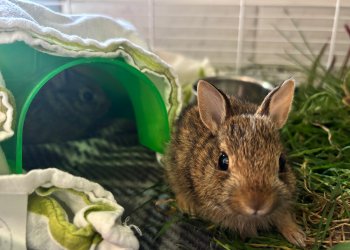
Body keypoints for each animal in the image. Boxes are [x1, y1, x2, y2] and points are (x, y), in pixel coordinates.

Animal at [163, 79, 304, 247]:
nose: (257, 204)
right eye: (222, 161)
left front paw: (298, 237)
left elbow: (284, 218)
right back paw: (187, 206)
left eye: (282, 162)